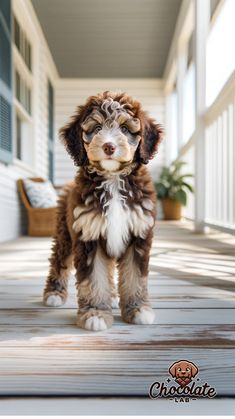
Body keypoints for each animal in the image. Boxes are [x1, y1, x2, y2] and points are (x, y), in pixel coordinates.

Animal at [42, 91, 163, 332]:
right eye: (97, 128)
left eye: (125, 129)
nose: (109, 146)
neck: (113, 179)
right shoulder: (88, 235)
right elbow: (94, 278)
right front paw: (96, 313)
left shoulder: (138, 233)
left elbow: (135, 276)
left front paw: (137, 309)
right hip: (64, 233)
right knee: (59, 260)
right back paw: (54, 293)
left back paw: (114, 296)